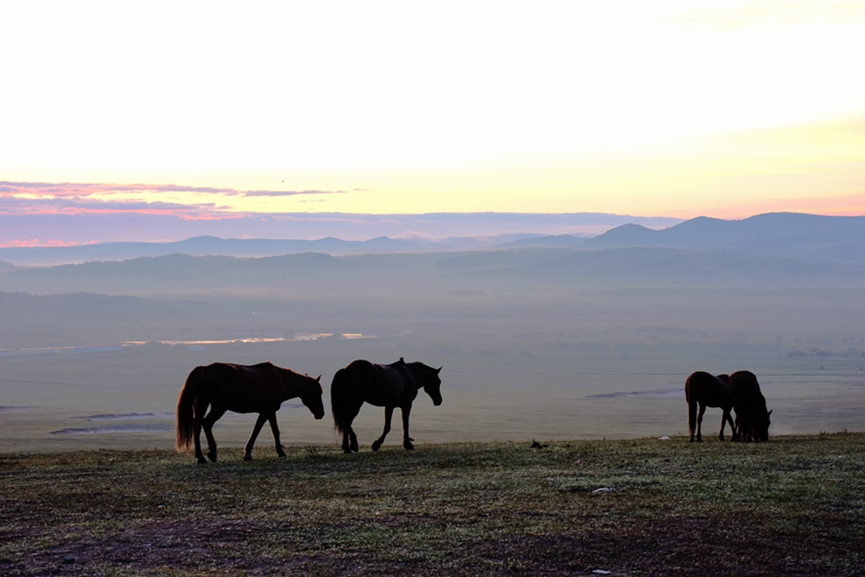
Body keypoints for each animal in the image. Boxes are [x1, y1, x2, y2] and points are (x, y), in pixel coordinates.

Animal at [176, 360, 324, 464]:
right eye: (317, 392)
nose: (321, 414)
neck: (280, 382)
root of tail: (205, 369)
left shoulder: (270, 412)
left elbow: (275, 431)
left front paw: (280, 452)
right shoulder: (266, 411)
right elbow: (257, 430)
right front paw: (248, 454)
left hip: (202, 404)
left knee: (197, 427)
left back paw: (201, 457)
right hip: (219, 407)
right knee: (206, 424)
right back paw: (212, 454)